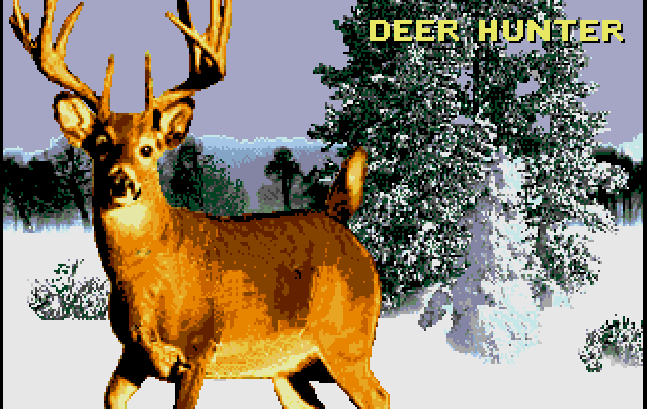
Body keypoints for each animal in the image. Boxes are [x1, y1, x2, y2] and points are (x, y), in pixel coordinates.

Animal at [9, 1, 389, 408]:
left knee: (380, 395)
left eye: (148, 148)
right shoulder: (133, 354)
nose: (121, 182)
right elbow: (111, 397)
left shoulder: (198, 349)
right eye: (100, 146)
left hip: (348, 342)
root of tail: (339, 221)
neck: (146, 283)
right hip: (288, 369)